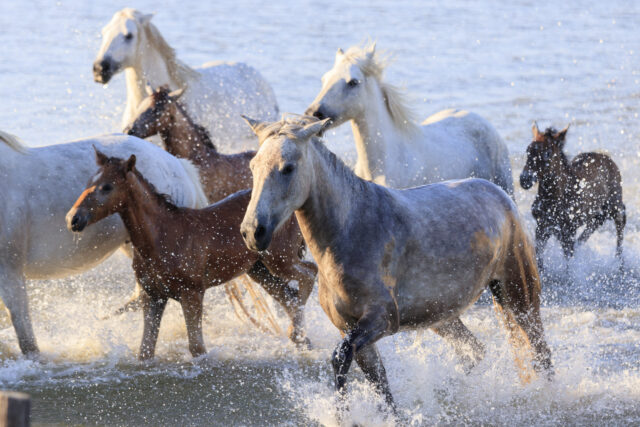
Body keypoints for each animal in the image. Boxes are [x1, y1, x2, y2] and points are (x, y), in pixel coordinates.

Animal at [67, 150, 317, 359]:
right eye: (88, 183)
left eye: (107, 187)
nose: (73, 219)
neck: (161, 236)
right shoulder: (152, 296)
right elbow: (145, 350)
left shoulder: (192, 293)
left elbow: (197, 348)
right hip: (259, 270)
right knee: (289, 298)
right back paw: (301, 338)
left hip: (279, 259)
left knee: (309, 274)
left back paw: (296, 331)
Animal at [239, 115, 553, 412]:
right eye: (253, 166)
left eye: (288, 168)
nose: (253, 232)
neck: (350, 230)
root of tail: (501, 196)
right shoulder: (350, 329)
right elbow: (377, 383)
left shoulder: (382, 319)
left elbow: (340, 358)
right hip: (442, 316)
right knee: (474, 351)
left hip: (519, 294)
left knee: (540, 353)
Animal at [520, 122, 625, 268]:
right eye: (528, 150)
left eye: (548, 153)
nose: (525, 179)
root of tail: (606, 158)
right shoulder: (542, 228)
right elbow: (539, 259)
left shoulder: (568, 232)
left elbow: (569, 266)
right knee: (596, 223)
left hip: (615, 203)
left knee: (619, 224)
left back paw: (619, 262)